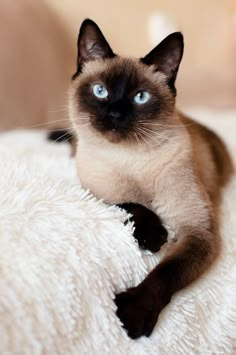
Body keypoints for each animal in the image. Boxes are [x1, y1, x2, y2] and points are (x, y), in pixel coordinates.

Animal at [68, 18, 234, 340]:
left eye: (140, 97)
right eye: (100, 91)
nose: (115, 114)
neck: (131, 159)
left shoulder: (198, 232)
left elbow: (164, 274)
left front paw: (132, 314)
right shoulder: (92, 193)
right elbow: (131, 204)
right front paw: (154, 236)